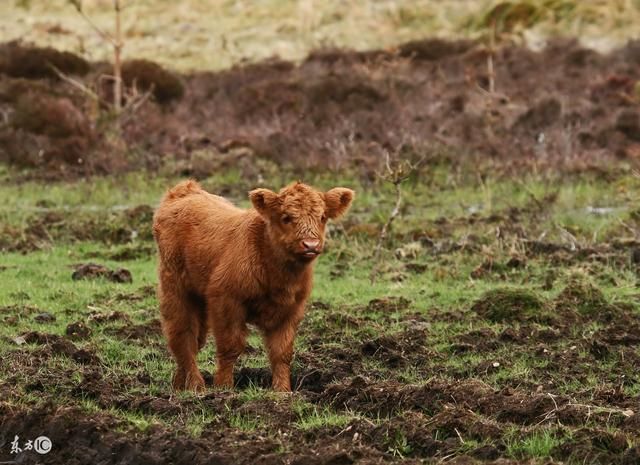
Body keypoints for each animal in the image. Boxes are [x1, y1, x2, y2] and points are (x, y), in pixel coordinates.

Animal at [154, 179, 356, 390]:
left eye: (323, 217)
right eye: (286, 217)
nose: (310, 244)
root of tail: (185, 190)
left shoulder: (291, 310)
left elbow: (282, 353)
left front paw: (282, 391)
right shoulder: (226, 301)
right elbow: (230, 346)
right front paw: (224, 387)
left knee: (193, 340)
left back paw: (179, 384)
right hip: (176, 292)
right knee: (184, 338)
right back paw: (196, 386)